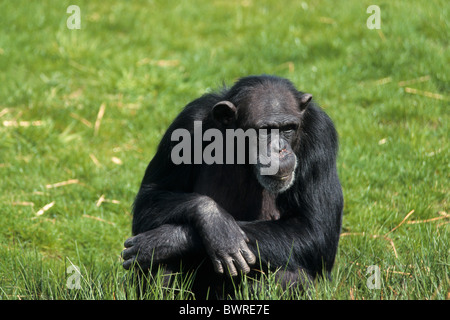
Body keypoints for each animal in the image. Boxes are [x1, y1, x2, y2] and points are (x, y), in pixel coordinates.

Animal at [121, 75, 342, 298]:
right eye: (265, 131)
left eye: (288, 128)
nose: (280, 149)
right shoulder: (188, 121)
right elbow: (150, 198)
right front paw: (216, 224)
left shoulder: (320, 134)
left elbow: (313, 230)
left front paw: (170, 239)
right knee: (157, 261)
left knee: (290, 275)